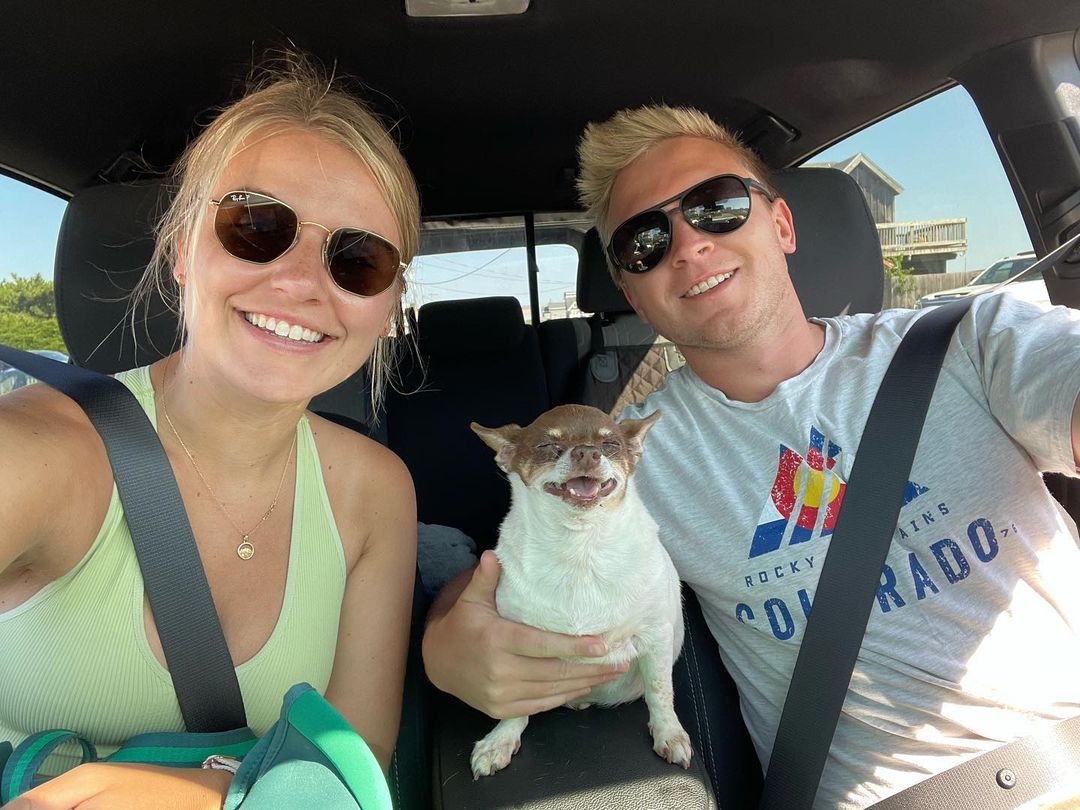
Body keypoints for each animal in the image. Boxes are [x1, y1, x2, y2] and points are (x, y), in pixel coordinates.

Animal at [466, 406, 691, 781]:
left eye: (611, 444)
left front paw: (669, 733)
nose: (587, 452)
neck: (580, 546)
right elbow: (514, 707)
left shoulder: (655, 635)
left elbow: (660, 691)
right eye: (546, 445)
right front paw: (501, 739)